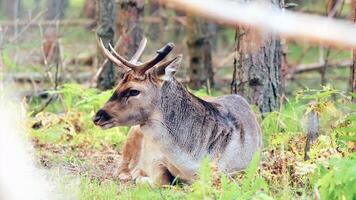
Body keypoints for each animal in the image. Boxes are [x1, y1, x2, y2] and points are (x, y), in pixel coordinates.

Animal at [93, 37, 262, 184]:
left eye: (134, 91)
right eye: (118, 84)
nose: (97, 117)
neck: (191, 163)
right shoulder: (158, 159)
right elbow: (160, 180)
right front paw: (139, 175)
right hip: (133, 133)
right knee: (120, 168)